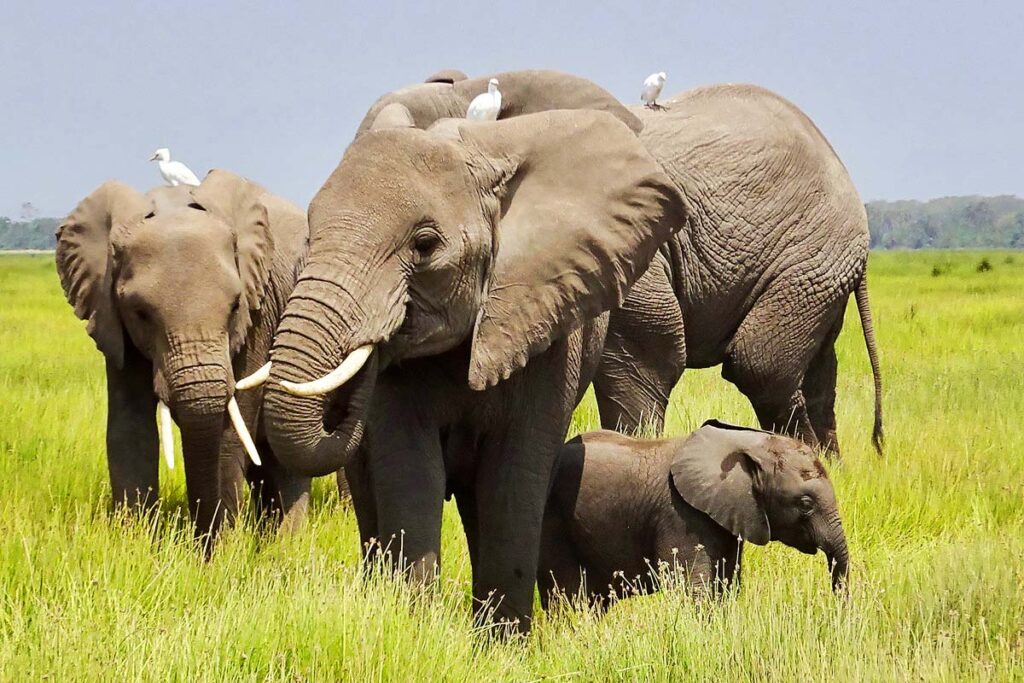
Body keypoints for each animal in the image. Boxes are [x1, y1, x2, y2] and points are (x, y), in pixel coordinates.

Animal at [55, 170, 311, 545]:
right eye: (140, 313)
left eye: (235, 306)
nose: (203, 545)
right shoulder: (112, 318)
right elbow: (130, 428)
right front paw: (136, 544)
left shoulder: (259, 311)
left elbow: (230, 433)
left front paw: (222, 550)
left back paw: (284, 545)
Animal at [247, 75, 687, 633]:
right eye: (310, 234)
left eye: (425, 245)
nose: (373, 342)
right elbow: (409, 469)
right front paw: (412, 629)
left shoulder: (545, 322)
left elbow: (513, 474)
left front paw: (502, 643)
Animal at [538, 420, 849, 610]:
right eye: (806, 503)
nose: (838, 609)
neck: (746, 444)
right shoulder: (681, 515)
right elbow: (693, 589)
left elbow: (727, 584)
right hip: (553, 523)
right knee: (566, 597)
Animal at [592, 85, 884, 456]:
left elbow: (646, 351)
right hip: (822, 274)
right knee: (817, 372)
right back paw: (831, 464)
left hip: (807, 260)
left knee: (760, 366)